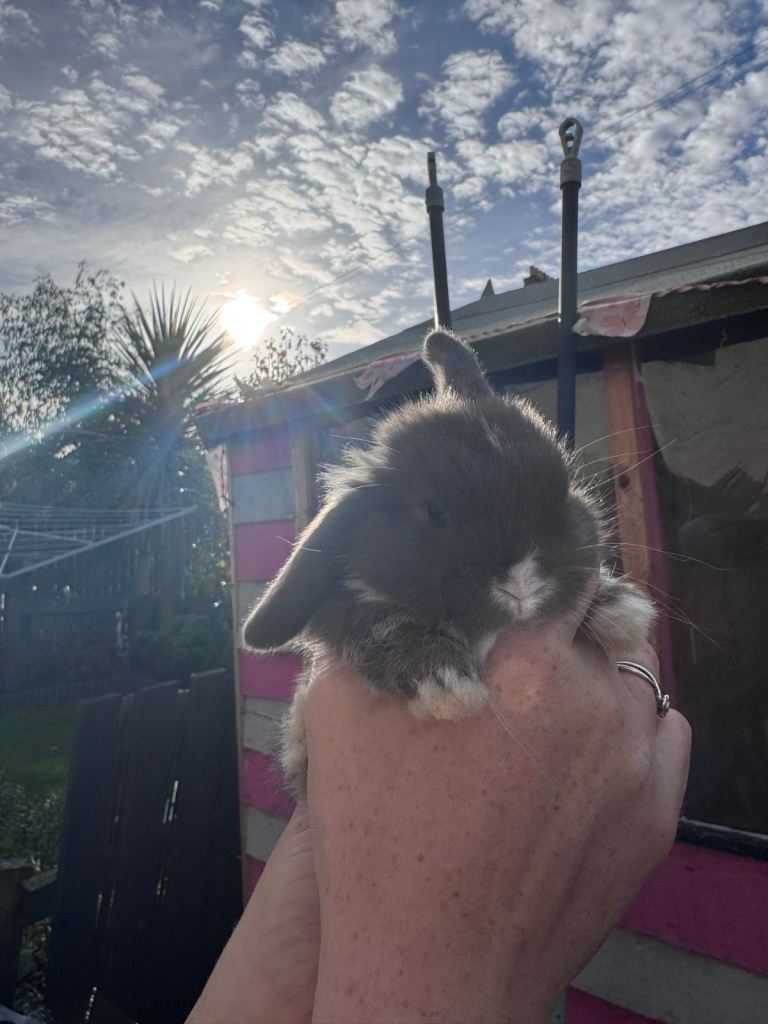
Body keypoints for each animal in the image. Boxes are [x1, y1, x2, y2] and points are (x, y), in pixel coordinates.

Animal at [243, 328, 655, 796]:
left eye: (564, 489)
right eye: (434, 513)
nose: (523, 583)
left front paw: (620, 608)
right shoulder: (349, 617)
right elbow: (384, 629)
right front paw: (445, 683)